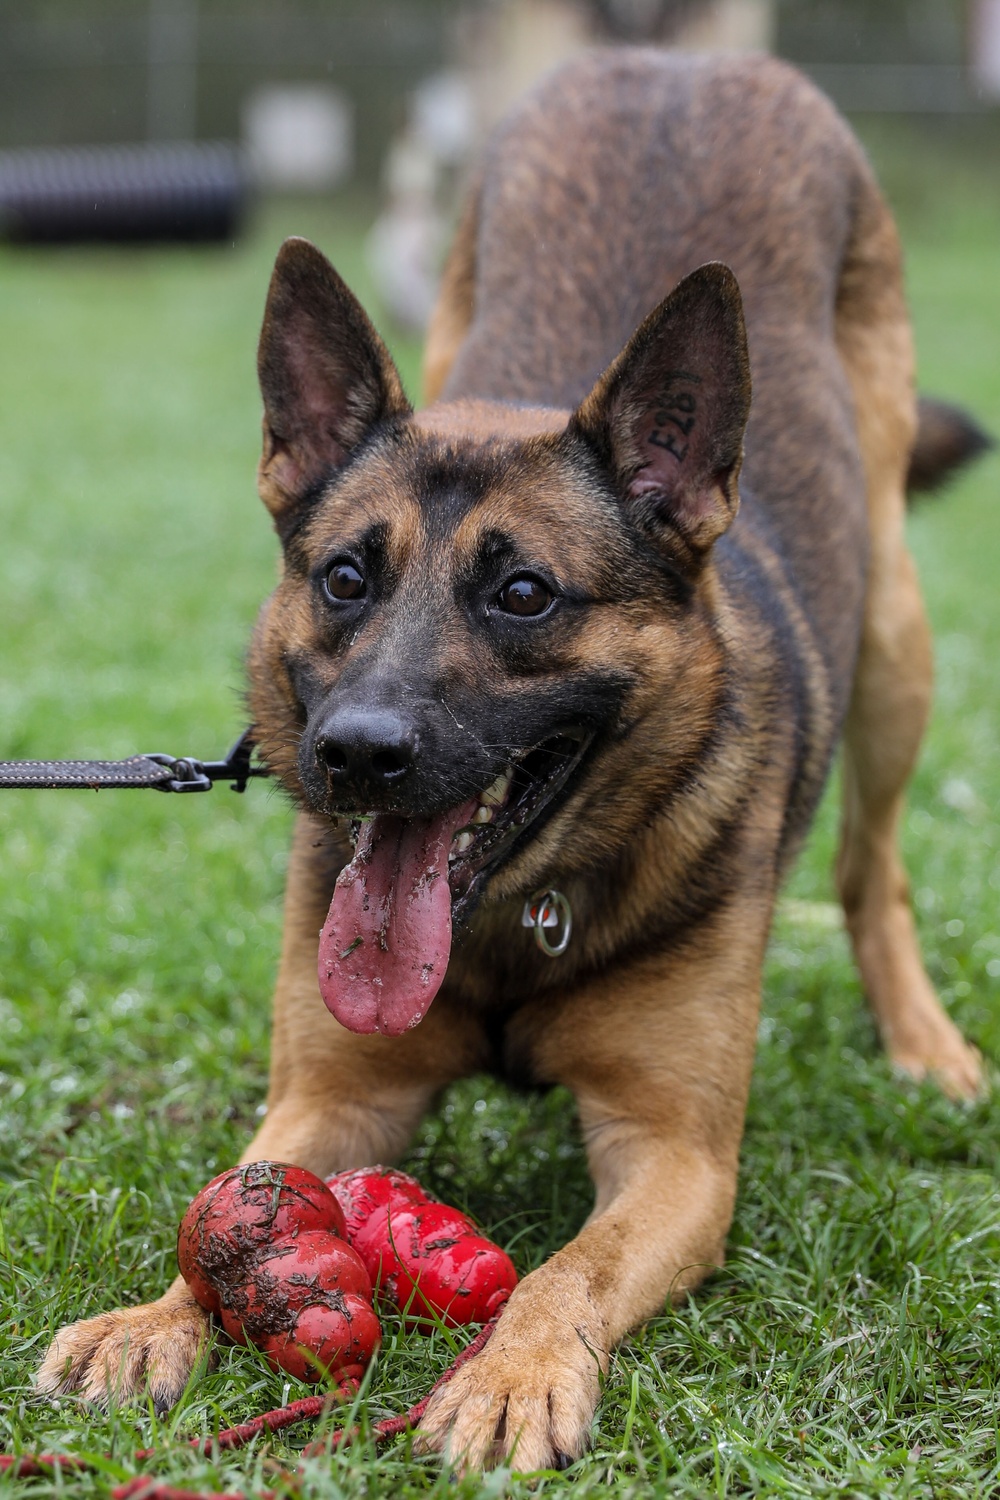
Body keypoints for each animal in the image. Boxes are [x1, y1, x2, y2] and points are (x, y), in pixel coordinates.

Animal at [35, 49, 989, 1476]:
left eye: (525, 594)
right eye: (345, 578)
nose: (355, 755)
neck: (506, 923)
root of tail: (676, 62)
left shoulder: (677, 1157)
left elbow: (565, 1270)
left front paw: (511, 1372)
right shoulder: (329, 1098)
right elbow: (219, 1216)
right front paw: (151, 1317)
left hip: (894, 640)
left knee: (875, 873)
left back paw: (924, 1042)